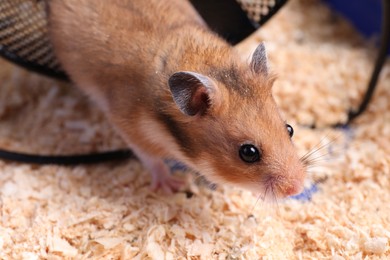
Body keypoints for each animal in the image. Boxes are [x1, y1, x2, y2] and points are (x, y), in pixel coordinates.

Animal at [47, 0, 306, 197]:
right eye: (248, 153)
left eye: (290, 129)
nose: (297, 188)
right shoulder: (129, 126)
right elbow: (151, 159)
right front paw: (173, 187)